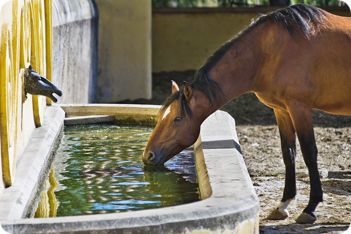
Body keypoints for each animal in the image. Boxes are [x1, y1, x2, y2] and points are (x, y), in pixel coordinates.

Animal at [142, 3, 351, 223]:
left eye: (178, 118)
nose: (148, 155)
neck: (268, 53)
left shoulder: (299, 108)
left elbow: (309, 153)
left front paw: (310, 208)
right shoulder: (282, 110)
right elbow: (289, 154)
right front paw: (283, 205)